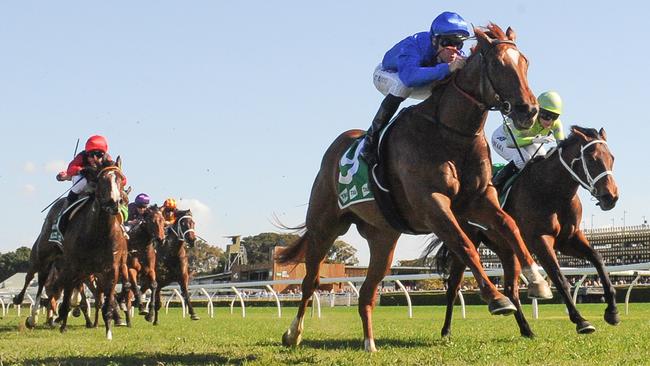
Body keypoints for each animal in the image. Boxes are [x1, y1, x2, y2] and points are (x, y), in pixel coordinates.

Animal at [53, 159, 130, 338]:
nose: (114, 202)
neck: (98, 233)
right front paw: (63, 324)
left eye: (121, 179)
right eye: (102, 180)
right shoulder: (73, 266)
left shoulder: (112, 268)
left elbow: (109, 299)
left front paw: (109, 330)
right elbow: (67, 294)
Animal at [276, 23, 548, 352]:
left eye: (525, 63)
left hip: (383, 237)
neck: (451, 133)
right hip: (325, 225)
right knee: (310, 282)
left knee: (367, 293)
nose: (529, 111)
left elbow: (510, 224)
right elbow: (465, 244)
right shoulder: (432, 204)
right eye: (497, 64)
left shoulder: (479, 199)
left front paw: (537, 279)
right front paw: (497, 299)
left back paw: (369, 343)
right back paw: (293, 334)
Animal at [438, 126, 616, 338]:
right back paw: (446, 331)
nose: (611, 197)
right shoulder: (539, 239)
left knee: (510, 289)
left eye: (612, 158)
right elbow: (559, 278)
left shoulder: (569, 238)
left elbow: (598, 259)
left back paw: (526, 329)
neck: (552, 190)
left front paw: (612, 312)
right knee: (453, 286)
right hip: (467, 240)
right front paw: (581, 321)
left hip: (507, 249)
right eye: (591, 158)